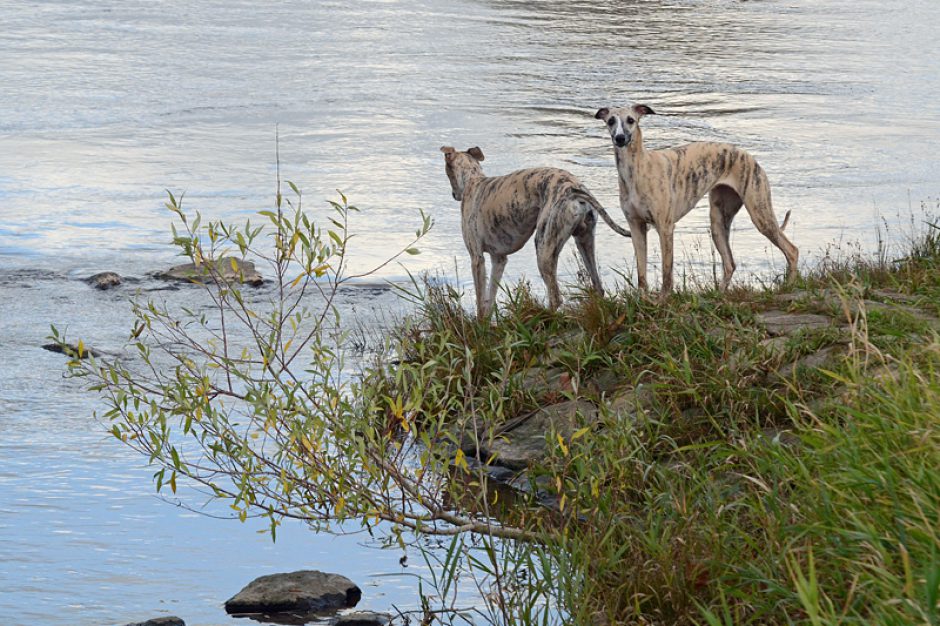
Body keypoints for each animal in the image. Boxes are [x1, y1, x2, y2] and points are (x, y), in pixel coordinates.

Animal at [440, 144, 632, 314]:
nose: (454, 195)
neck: (472, 180)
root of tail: (574, 189)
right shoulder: (499, 259)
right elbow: (490, 298)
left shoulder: (477, 258)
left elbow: (481, 301)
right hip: (584, 241)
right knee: (598, 287)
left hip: (544, 246)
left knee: (556, 297)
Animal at [596, 103, 800, 294]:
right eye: (611, 121)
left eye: (630, 120)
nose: (620, 138)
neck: (637, 168)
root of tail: (750, 157)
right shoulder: (636, 227)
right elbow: (641, 274)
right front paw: (643, 300)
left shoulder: (665, 227)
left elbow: (667, 272)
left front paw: (663, 300)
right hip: (718, 222)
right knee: (729, 263)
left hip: (760, 213)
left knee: (792, 251)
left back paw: (789, 285)